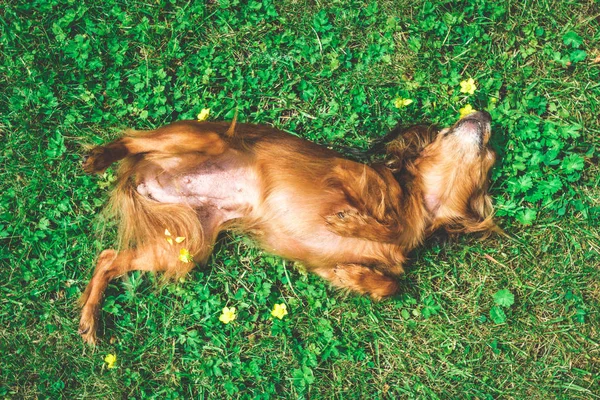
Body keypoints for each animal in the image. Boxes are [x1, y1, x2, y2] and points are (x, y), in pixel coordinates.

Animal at [78, 110, 496, 344]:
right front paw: (354, 222)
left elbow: (390, 283)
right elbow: (381, 222)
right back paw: (101, 156)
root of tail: (145, 176)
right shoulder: (344, 175)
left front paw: (356, 276)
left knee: (107, 258)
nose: (485, 116)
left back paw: (89, 320)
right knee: (132, 139)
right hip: (203, 138)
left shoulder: (329, 265)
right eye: (491, 153)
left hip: (183, 249)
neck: (416, 206)